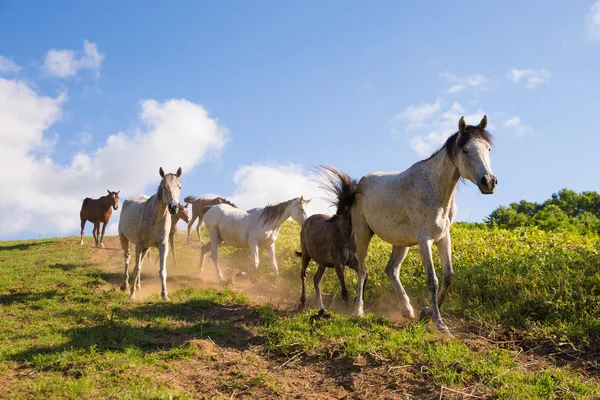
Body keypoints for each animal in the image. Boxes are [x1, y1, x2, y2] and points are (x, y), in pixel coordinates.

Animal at [118, 166, 182, 300]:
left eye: (179, 187)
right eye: (164, 187)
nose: (173, 207)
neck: (155, 217)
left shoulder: (163, 245)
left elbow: (162, 271)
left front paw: (164, 295)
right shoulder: (139, 245)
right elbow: (136, 269)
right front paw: (132, 295)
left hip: (146, 248)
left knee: (140, 263)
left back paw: (137, 286)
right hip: (124, 239)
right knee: (127, 257)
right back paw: (124, 285)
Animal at [330, 116, 494, 334]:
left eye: (488, 148)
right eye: (466, 150)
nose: (489, 182)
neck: (434, 189)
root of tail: (358, 186)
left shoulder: (443, 237)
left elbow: (448, 276)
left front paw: (426, 312)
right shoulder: (425, 240)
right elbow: (432, 280)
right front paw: (440, 323)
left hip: (401, 243)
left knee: (391, 270)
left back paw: (407, 310)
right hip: (363, 234)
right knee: (362, 269)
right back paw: (359, 310)